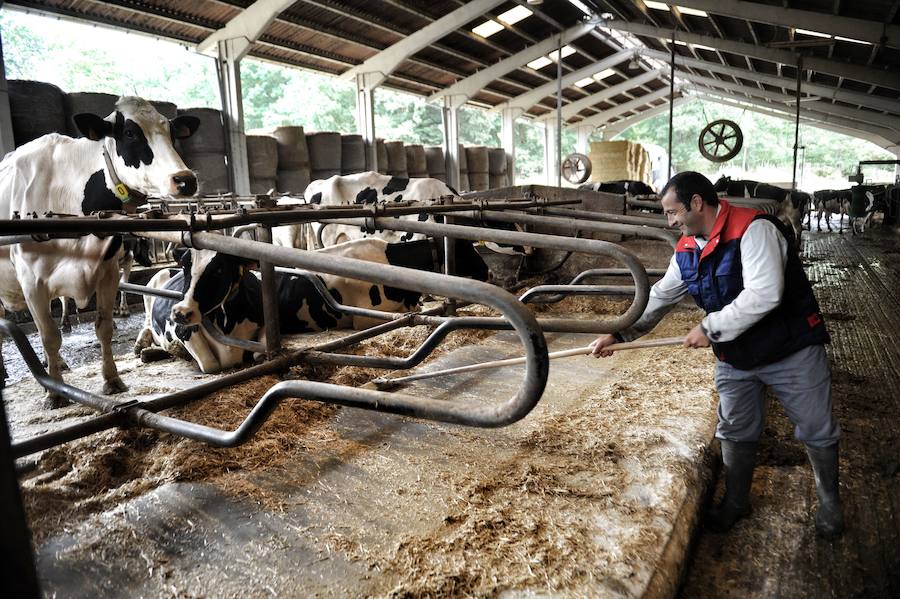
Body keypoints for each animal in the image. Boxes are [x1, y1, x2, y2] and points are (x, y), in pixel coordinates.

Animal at [0, 96, 199, 404]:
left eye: (170, 131)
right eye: (129, 133)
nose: (185, 179)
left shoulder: (108, 272)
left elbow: (103, 327)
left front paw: (112, 380)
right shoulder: (32, 282)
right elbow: (49, 336)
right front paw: (55, 392)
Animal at [135, 237, 486, 372]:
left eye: (218, 270)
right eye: (468, 248)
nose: (487, 272)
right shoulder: (364, 318)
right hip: (154, 281)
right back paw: (145, 347)